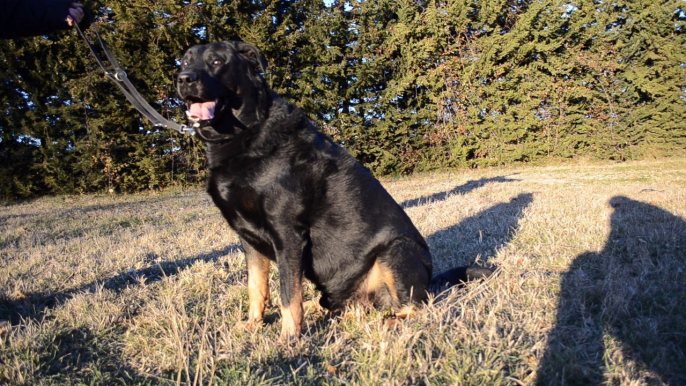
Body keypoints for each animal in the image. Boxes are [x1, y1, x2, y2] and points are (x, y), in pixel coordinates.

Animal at [175, 40, 492, 340]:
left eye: (218, 62)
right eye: (185, 62)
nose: (183, 79)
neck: (245, 133)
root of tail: (429, 281)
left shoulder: (287, 234)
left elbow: (288, 295)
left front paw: (288, 339)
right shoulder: (248, 239)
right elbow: (257, 288)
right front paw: (254, 325)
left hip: (396, 251)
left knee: (417, 306)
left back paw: (391, 320)